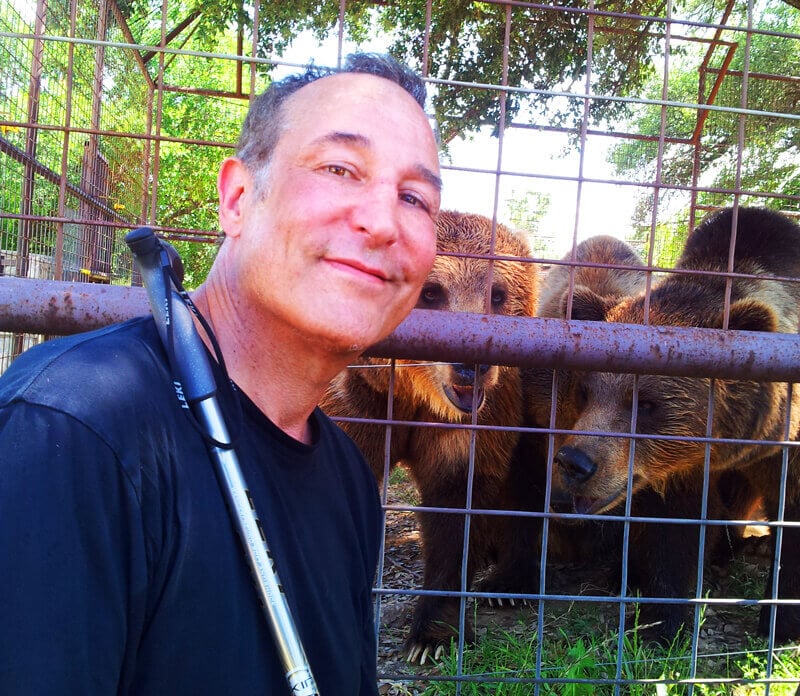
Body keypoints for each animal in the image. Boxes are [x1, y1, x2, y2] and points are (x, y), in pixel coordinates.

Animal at [320, 211, 544, 664]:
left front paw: (433, 636)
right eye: (430, 292)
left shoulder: (477, 423)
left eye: (497, 294)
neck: (416, 397)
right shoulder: (360, 405)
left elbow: (455, 507)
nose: (473, 363)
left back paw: (507, 582)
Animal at [552, 205, 800, 640]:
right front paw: (662, 622)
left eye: (646, 402)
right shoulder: (677, 468)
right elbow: (673, 532)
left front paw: (781, 623)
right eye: (586, 391)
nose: (574, 462)